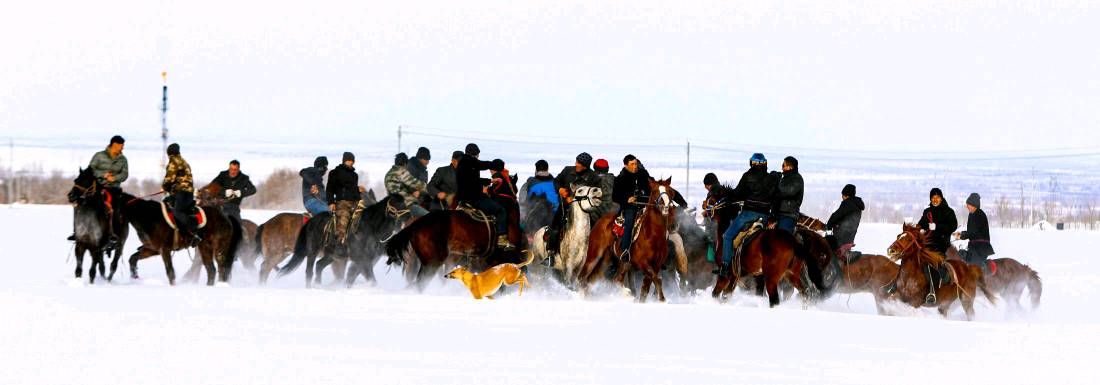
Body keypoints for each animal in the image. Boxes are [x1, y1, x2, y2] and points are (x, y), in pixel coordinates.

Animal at [277, 193, 411, 288]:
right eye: (396, 204)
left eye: (404, 202)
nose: (408, 216)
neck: (370, 227)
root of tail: (311, 221)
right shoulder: (361, 258)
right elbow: (368, 277)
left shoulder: (365, 259)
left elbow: (354, 275)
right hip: (312, 251)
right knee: (309, 270)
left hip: (332, 255)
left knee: (319, 265)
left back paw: (318, 285)